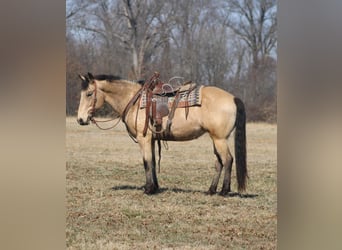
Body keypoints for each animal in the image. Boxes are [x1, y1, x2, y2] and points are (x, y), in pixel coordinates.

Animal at [76, 72, 247, 195]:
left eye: (89, 94)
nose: (80, 119)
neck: (135, 101)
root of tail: (233, 98)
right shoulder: (151, 139)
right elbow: (152, 162)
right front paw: (155, 187)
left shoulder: (143, 138)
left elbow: (146, 162)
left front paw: (148, 189)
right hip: (216, 138)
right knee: (219, 162)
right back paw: (211, 190)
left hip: (219, 139)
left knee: (228, 160)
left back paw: (224, 191)